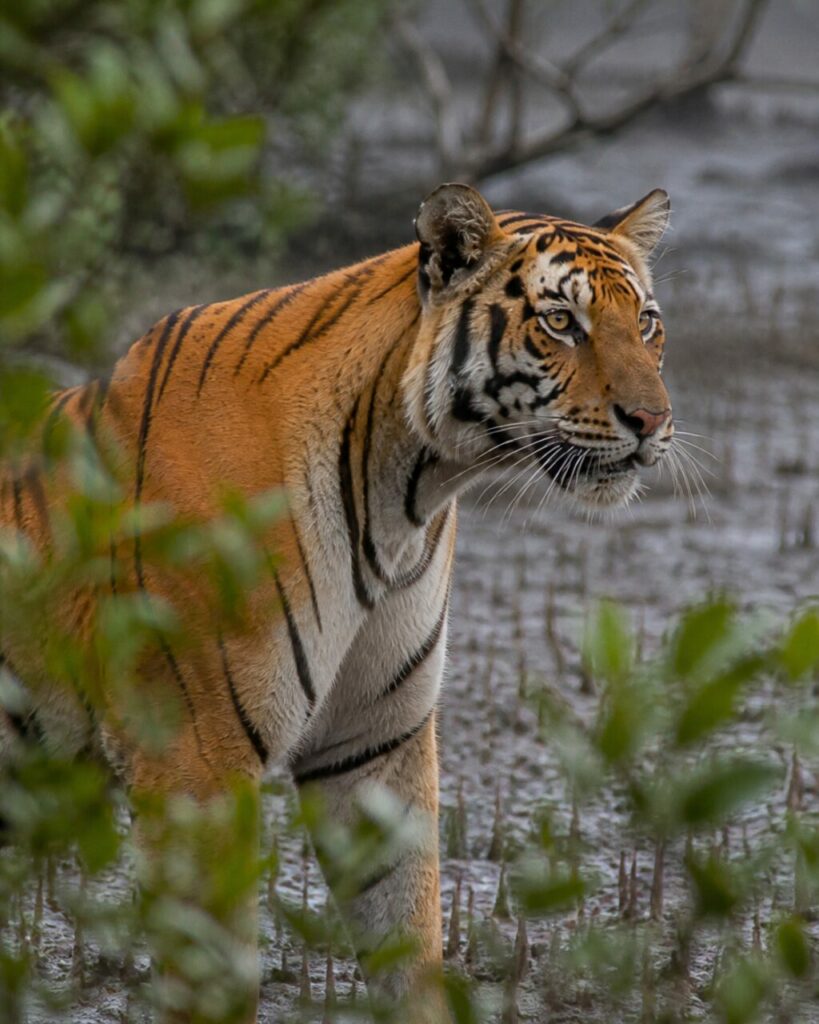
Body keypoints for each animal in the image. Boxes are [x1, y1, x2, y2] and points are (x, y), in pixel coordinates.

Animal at [0, 183, 674, 1022]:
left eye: (644, 323)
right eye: (560, 323)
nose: (652, 422)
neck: (407, 491)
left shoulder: (376, 739)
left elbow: (408, 939)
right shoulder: (193, 759)